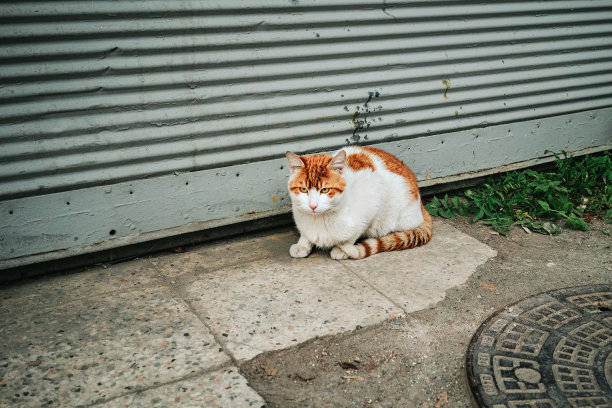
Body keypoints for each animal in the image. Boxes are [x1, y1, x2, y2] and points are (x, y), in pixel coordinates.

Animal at [286, 147, 432, 260]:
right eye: (303, 189)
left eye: (325, 190)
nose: (313, 206)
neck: (320, 220)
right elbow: (305, 234)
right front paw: (302, 245)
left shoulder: (372, 201)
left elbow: (354, 234)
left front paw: (342, 249)